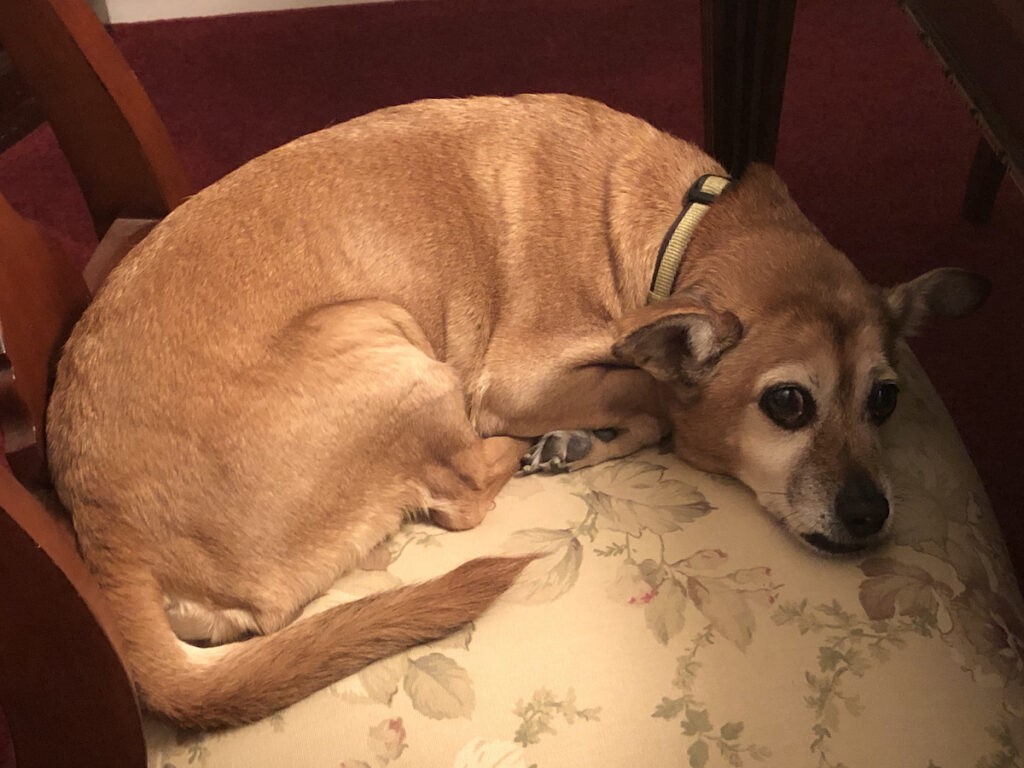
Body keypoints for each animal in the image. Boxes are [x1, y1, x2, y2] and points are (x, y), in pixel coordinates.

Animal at [44, 93, 987, 729]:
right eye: (788, 403)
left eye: (886, 399)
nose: (871, 515)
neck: (681, 231)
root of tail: (104, 539)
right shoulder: (518, 379)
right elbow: (650, 394)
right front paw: (608, 419)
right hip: (387, 343)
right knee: (465, 491)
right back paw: (541, 448)